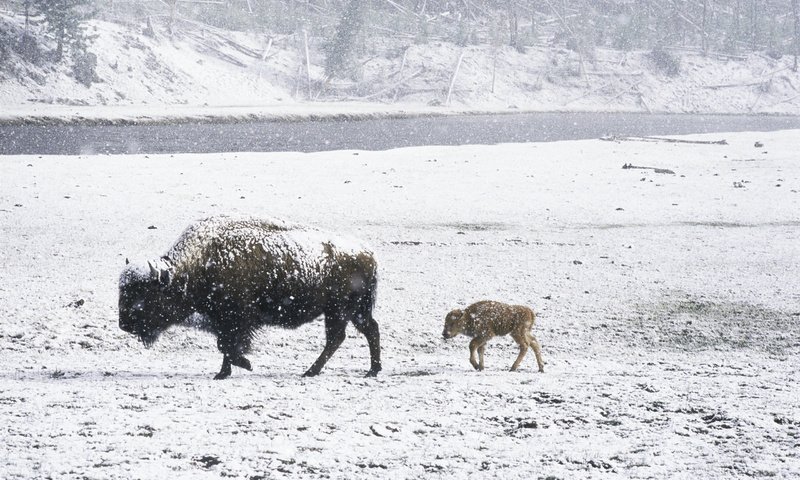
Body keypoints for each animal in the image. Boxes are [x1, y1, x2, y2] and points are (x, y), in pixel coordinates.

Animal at [118, 217, 382, 378]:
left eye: (144, 295)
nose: (124, 324)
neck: (196, 266)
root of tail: (368, 253)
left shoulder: (237, 319)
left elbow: (228, 345)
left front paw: (245, 364)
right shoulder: (223, 321)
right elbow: (224, 345)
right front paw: (222, 373)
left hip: (341, 310)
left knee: (343, 336)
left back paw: (316, 371)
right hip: (348, 311)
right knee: (363, 331)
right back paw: (367, 370)